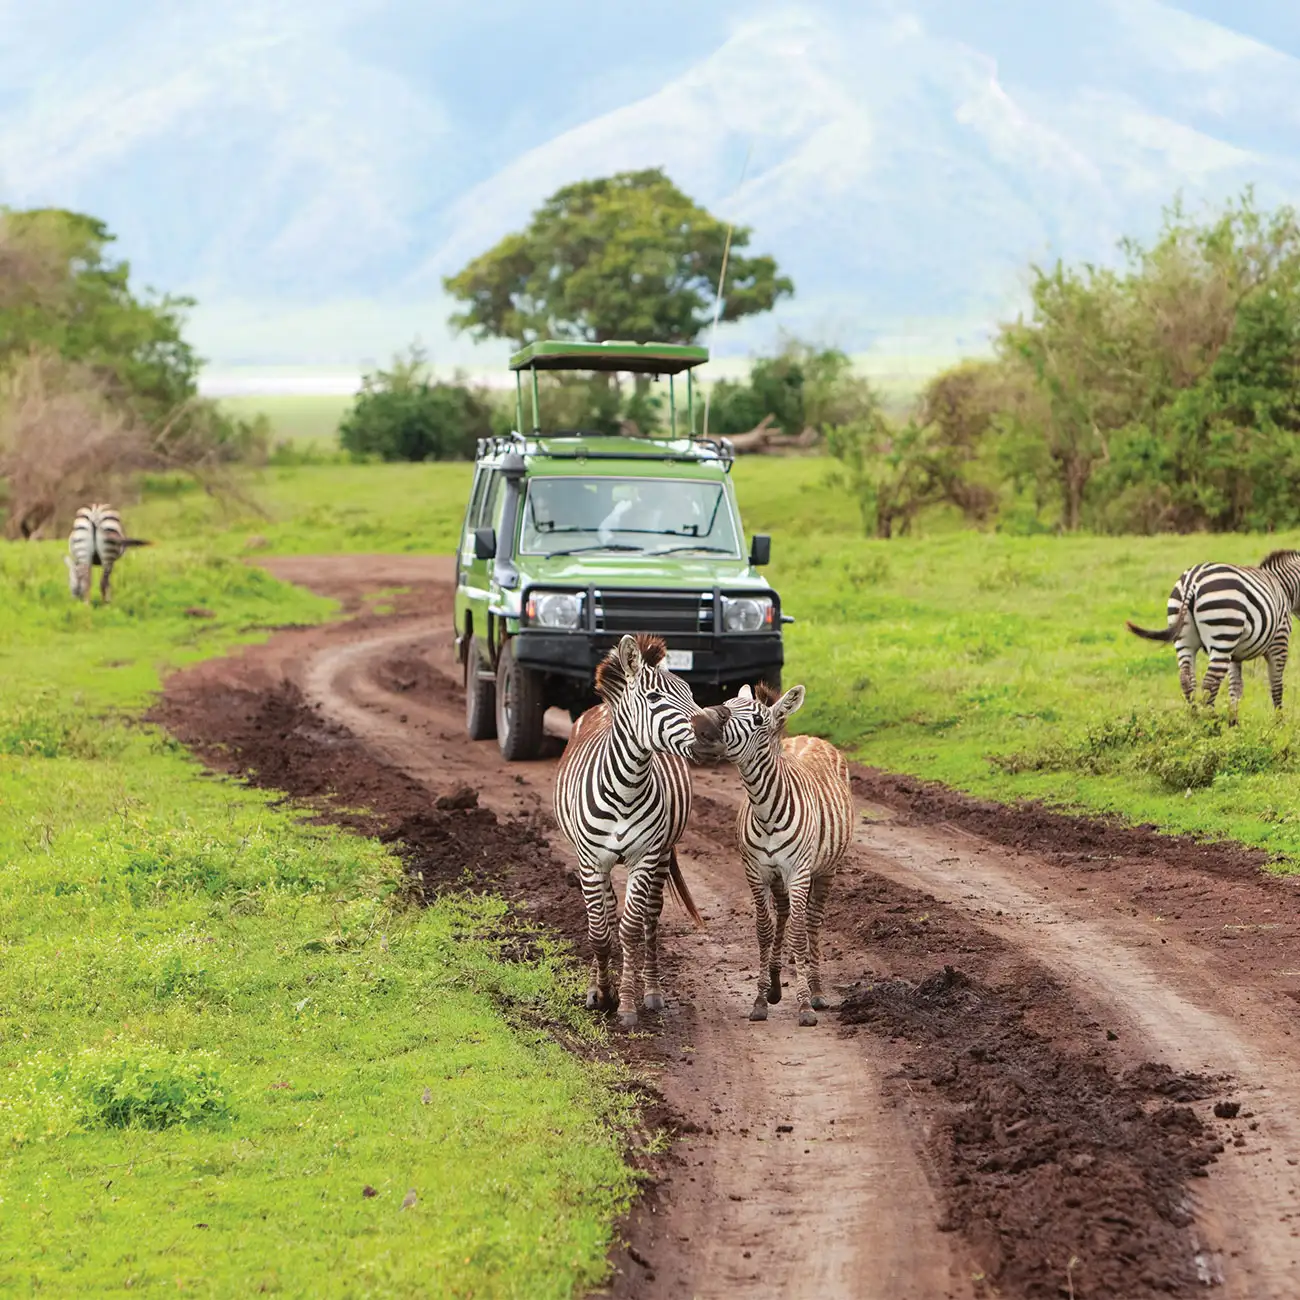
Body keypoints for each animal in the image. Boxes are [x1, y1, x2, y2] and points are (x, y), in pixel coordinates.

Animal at [553, 632, 718, 1027]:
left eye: (690, 692)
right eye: (654, 698)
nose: (710, 732)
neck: (626, 788)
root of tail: (600, 708)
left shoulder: (644, 857)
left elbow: (629, 929)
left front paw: (626, 1004)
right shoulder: (589, 861)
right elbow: (599, 932)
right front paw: (602, 993)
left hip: (661, 855)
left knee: (650, 917)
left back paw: (652, 991)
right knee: (608, 912)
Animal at [693, 682, 854, 1027]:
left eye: (757, 719)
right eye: (726, 702)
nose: (702, 725)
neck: (765, 810)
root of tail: (812, 738)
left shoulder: (798, 873)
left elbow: (799, 933)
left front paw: (805, 1006)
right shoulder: (755, 872)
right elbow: (764, 931)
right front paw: (760, 1000)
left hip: (826, 869)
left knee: (811, 921)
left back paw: (817, 991)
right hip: (780, 877)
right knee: (783, 913)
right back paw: (777, 986)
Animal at [1126, 549, 1300, 722]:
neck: (1284, 587)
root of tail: (1192, 580)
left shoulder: (1234, 654)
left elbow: (1236, 687)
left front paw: (1234, 722)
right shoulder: (1279, 642)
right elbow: (1276, 684)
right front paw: (1279, 722)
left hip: (1184, 637)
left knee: (1186, 678)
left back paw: (1194, 719)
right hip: (1223, 635)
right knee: (1210, 681)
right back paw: (1211, 722)